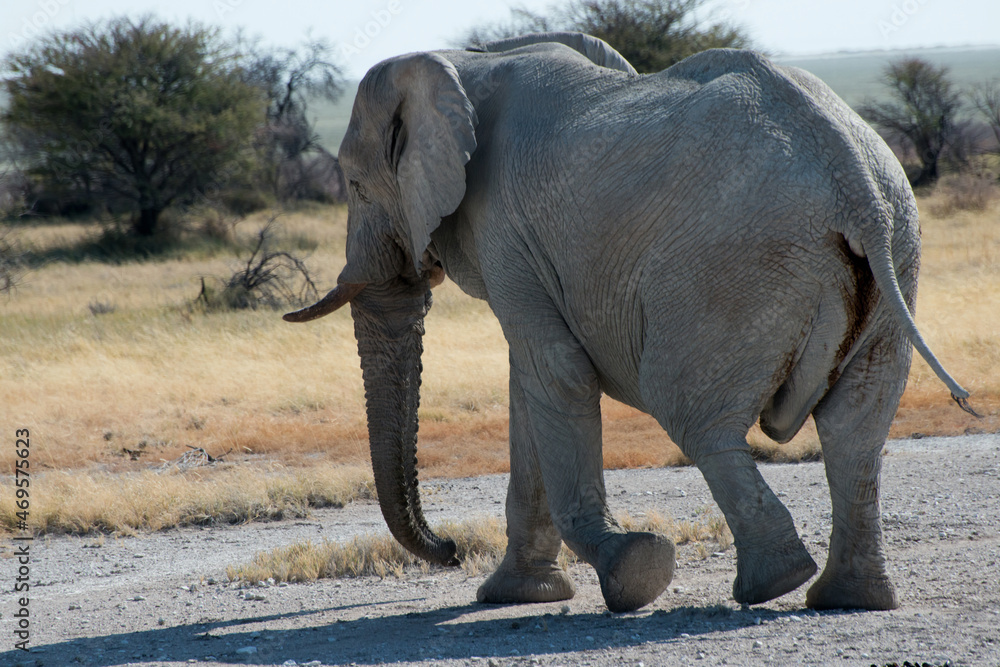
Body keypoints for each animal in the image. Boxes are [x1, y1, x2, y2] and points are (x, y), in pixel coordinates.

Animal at [284, 32, 974, 613]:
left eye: (354, 184)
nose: (450, 549)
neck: (466, 59)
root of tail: (853, 179)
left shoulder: (504, 227)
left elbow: (552, 372)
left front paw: (627, 574)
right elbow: (528, 385)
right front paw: (514, 597)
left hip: (731, 270)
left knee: (695, 416)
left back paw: (770, 584)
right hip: (896, 256)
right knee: (855, 429)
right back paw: (846, 599)